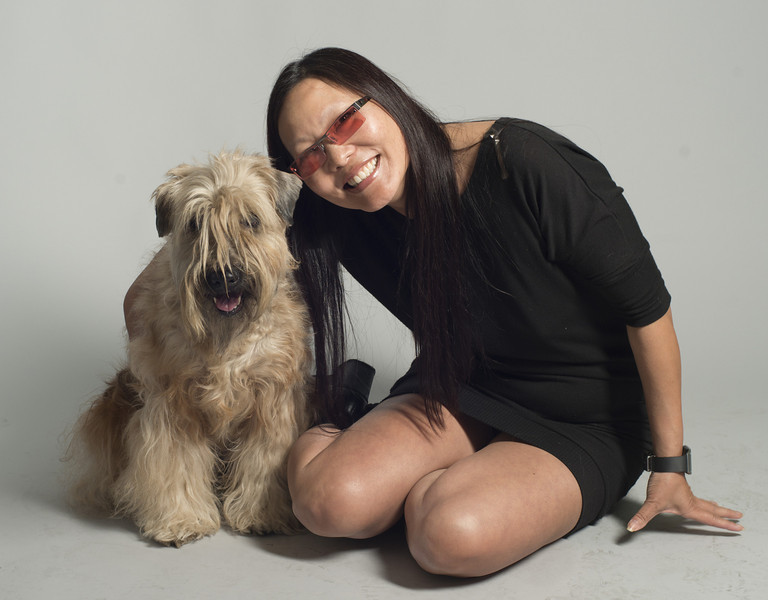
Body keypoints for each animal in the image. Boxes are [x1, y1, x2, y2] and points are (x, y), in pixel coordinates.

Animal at [68, 152, 312, 548]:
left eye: (250, 220)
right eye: (196, 223)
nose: (224, 276)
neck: (226, 339)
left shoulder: (272, 401)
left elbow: (262, 461)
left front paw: (264, 514)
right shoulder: (173, 402)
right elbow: (175, 462)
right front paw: (180, 520)